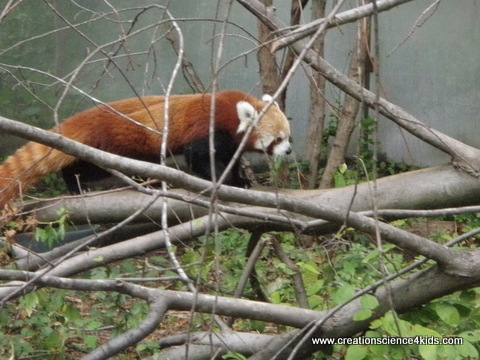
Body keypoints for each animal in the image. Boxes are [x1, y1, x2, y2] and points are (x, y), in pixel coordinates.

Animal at [0, 90, 292, 208]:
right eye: (278, 139)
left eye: (289, 137)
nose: (288, 151)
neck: (231, 115)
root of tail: (94, 117)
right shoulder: (208, 130)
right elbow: (199, 158)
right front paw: (226, 180)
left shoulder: (230, 142)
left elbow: (230, 157)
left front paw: (242, 180)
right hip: (118, 147)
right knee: (90, 168)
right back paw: (75, 183)